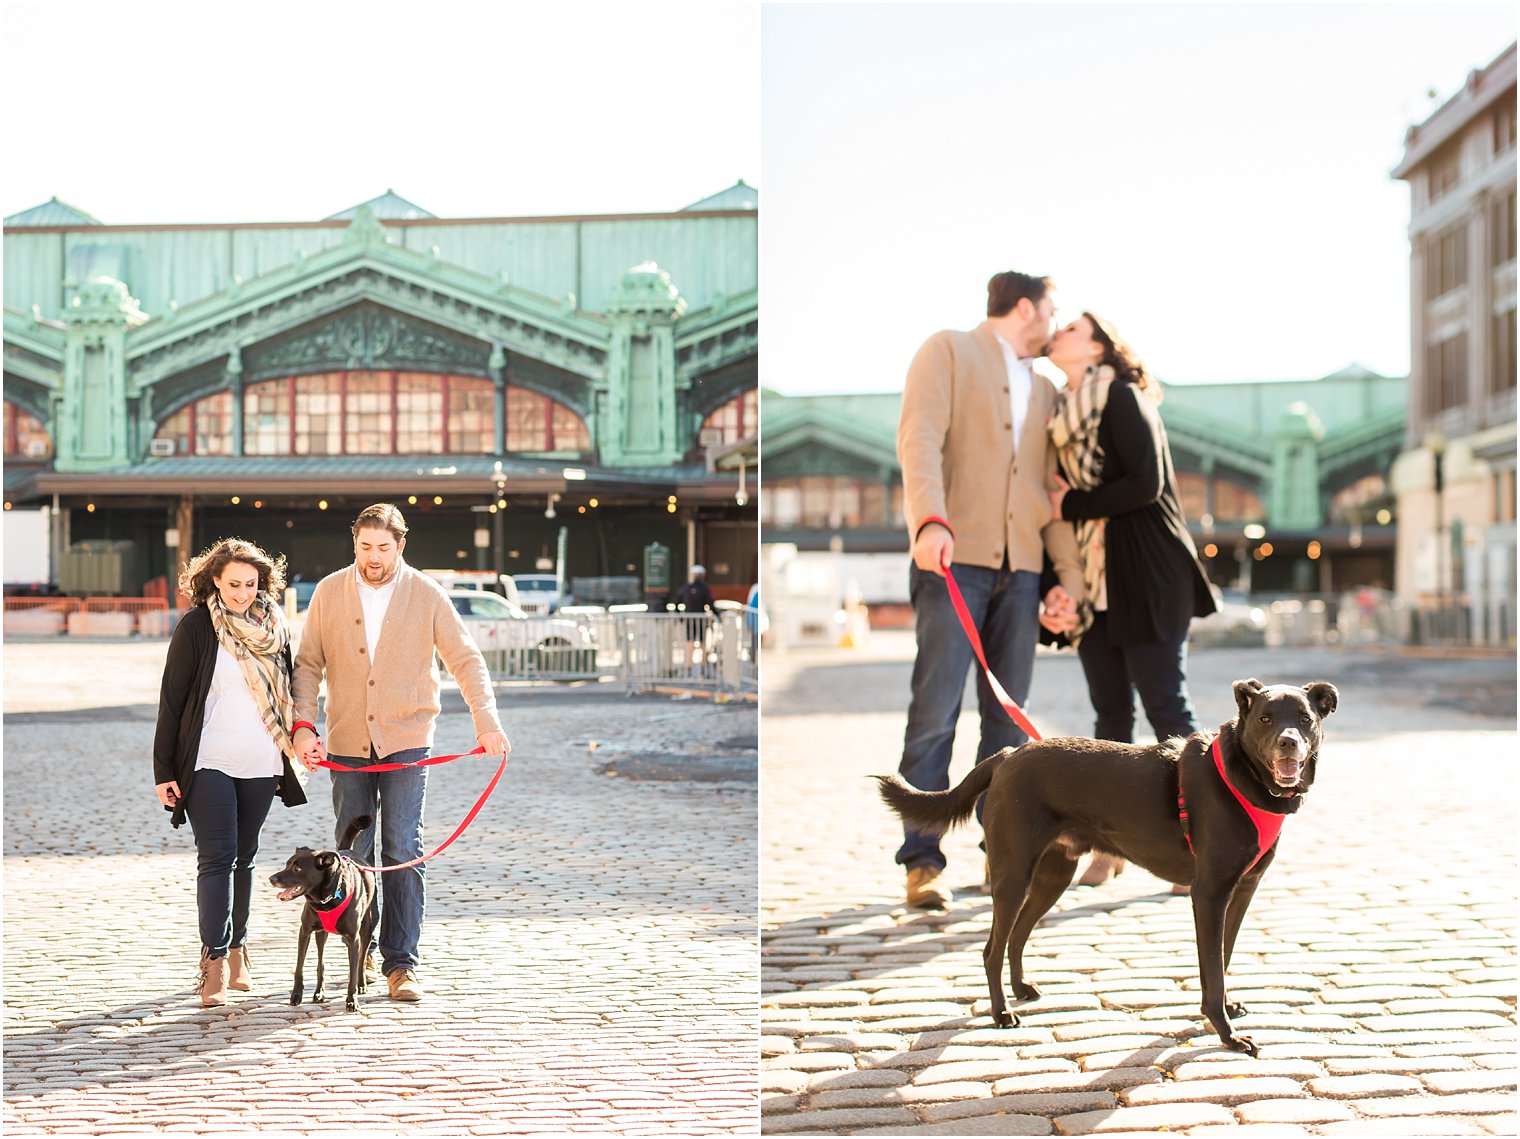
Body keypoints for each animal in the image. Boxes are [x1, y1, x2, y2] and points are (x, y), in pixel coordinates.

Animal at [267, 815, 376, 1009]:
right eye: (287, 864)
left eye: (297, 868)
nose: (271, 878)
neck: (325, 899)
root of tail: (348, 851)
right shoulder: (305, 931)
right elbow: (299, 967)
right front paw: (296, 995)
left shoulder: (353, 938)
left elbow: (353, 969)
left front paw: (352, 999)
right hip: (321, 933)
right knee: (321, 963)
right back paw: (319, 993)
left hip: (366, 928)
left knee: (362, 958)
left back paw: (361, 984)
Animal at [881, 681, 1343, 1052]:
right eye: (1266, 719)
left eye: (1305, 719)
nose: (1288, 742)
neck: (1241, 775)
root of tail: (1008, 755)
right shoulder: (1209, 895)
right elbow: (1212, 967)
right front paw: (1225, 1033)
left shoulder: (1242, 892)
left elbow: (1224, 959)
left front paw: (1227, 1008)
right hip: (1013, 875)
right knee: (992, 947)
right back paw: (1001, 1013)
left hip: (1052, 877)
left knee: (1017, 937)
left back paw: (1021, 990)